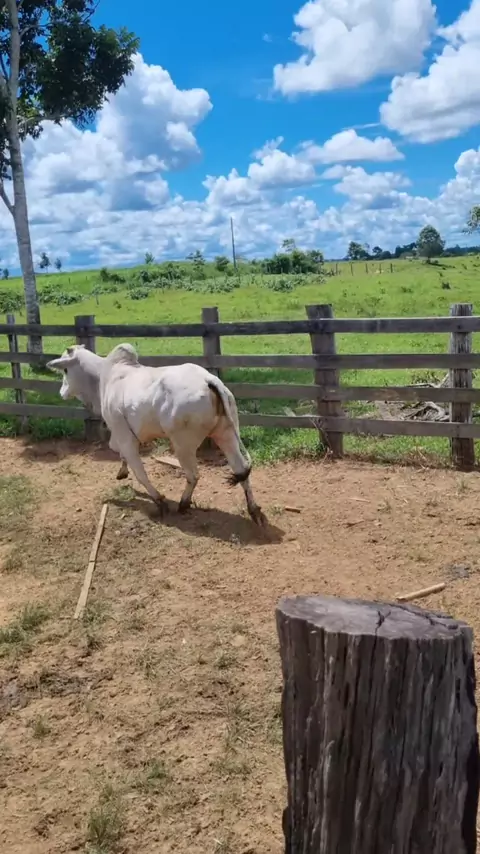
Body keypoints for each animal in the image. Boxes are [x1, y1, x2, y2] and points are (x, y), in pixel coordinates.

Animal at [47, 343, 265, 524]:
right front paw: (122, 472)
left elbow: (140, 473)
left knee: (193, 475)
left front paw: (159, 500)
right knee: (241, 470)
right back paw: (254, 511)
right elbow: (120, 455)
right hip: (226, 433)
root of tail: (208, 379)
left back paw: (183, 504)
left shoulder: (124, 435)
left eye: (65, 369)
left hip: (183, 444)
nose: (61, 392)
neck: (104, 378)